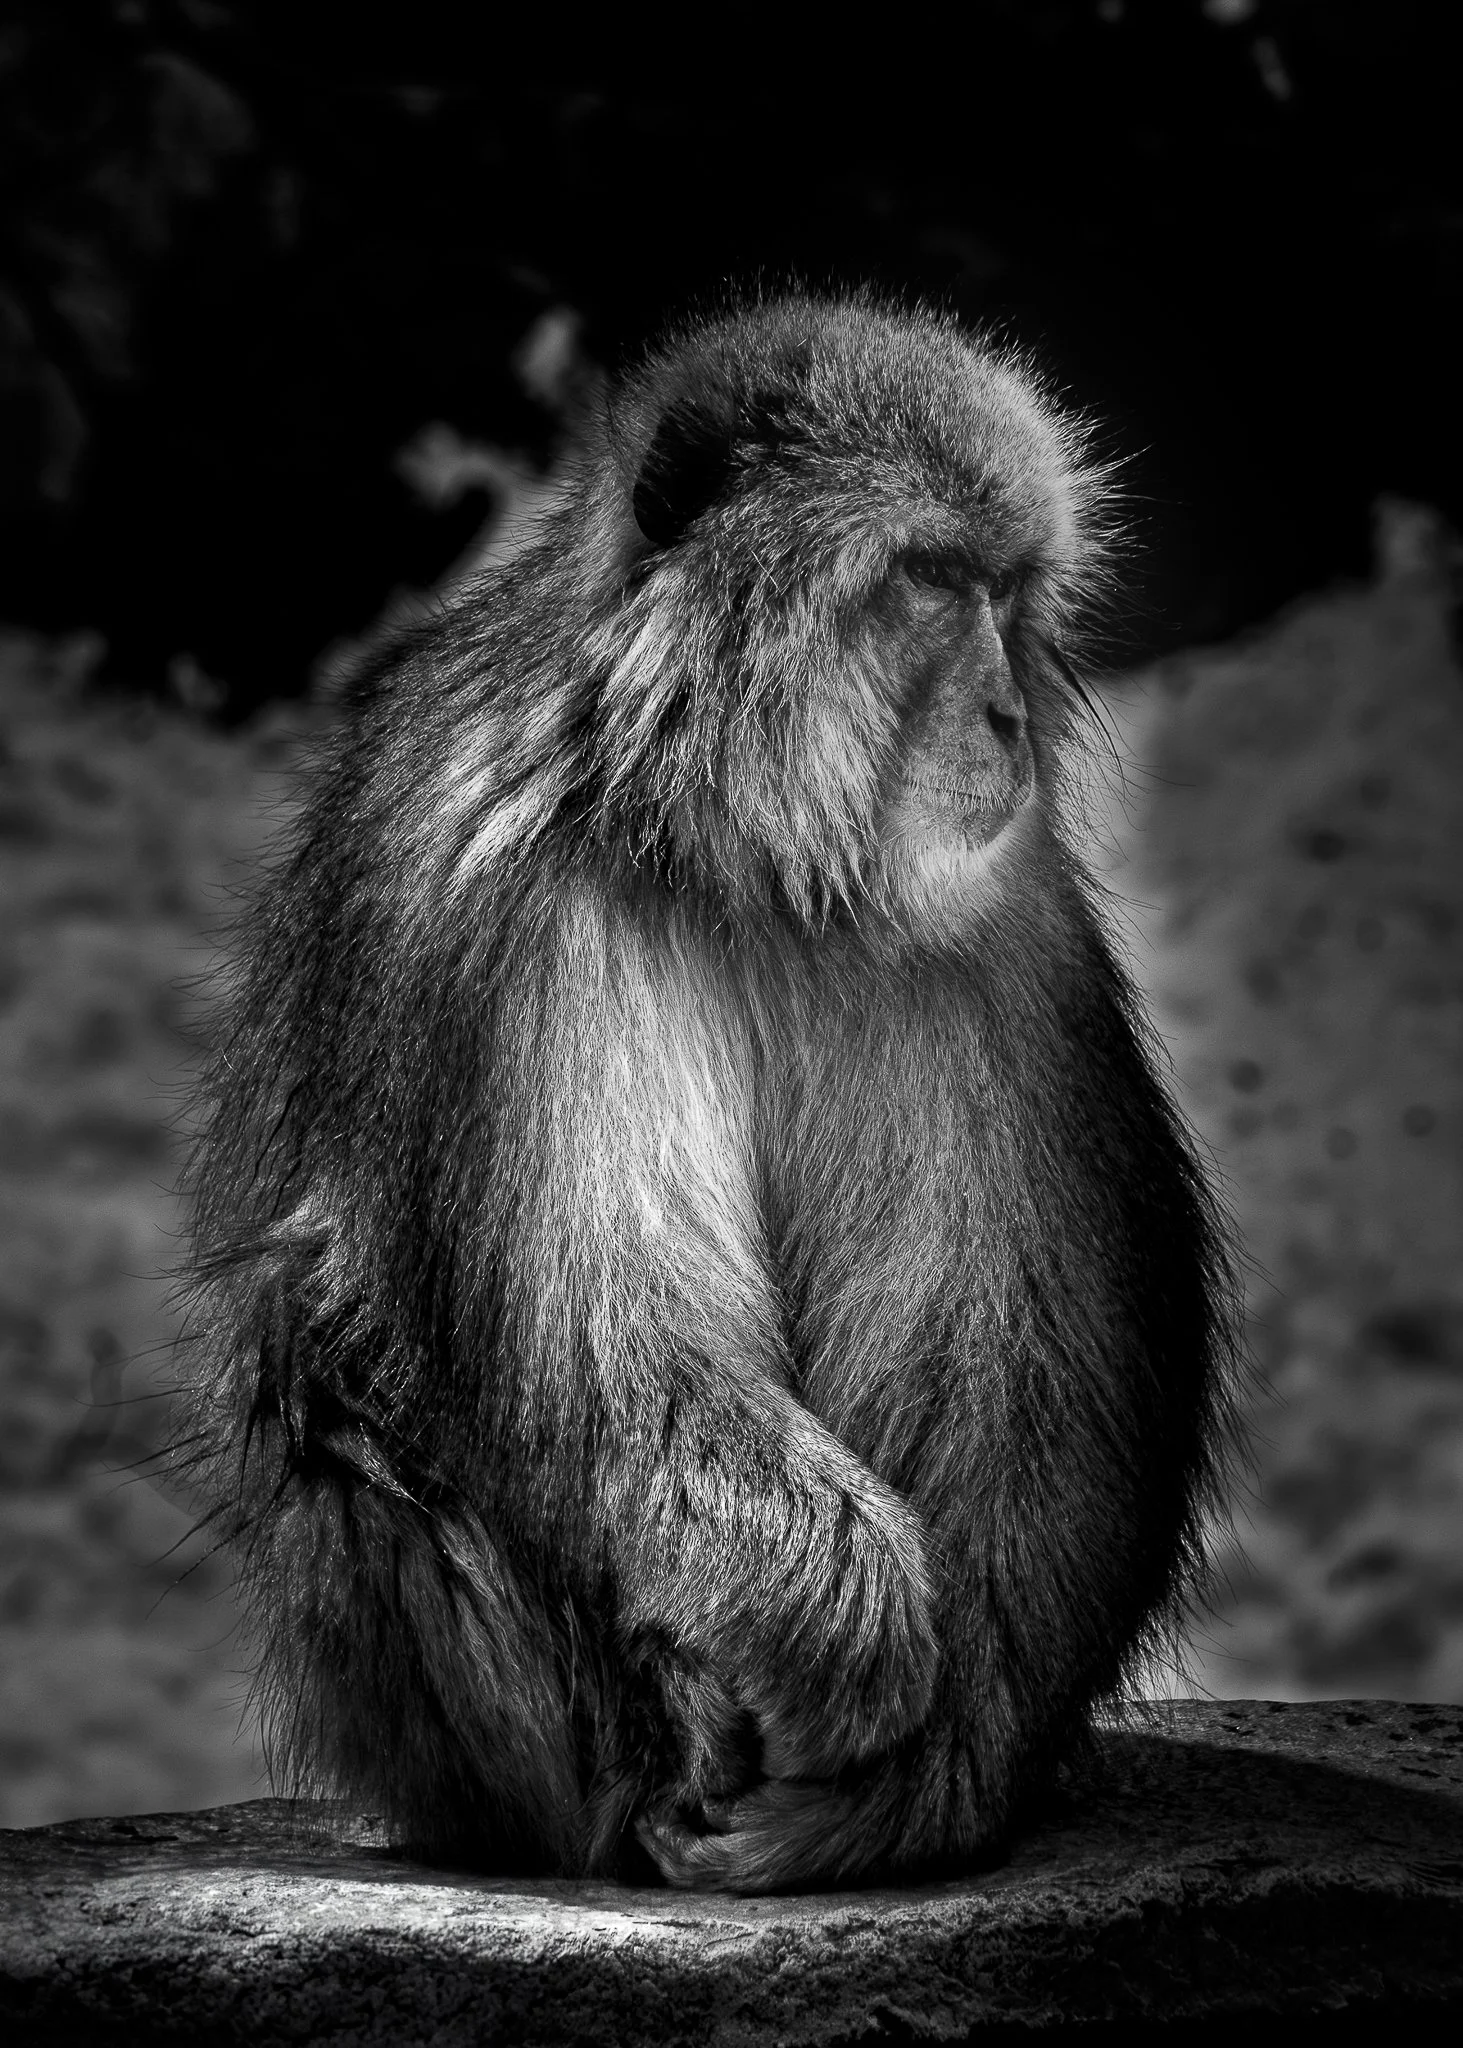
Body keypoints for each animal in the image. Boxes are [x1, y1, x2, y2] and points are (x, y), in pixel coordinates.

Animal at [178, 290, 1238, 1894]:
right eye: (930, 579)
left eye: (1006, 588)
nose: (1003, 713)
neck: (729, 839)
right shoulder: (495, 889)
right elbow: (606, 1345)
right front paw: (848, 1634)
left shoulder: (1001, 917)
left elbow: (1011, 1348)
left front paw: (915, 1773)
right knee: (333, 1376)